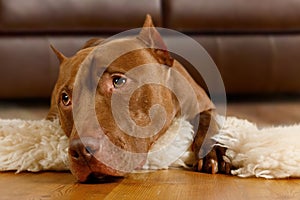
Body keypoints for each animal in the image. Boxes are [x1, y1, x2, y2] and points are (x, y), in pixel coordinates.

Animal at [47, 14, 230, 182]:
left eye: (118, 81)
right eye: (65, 98)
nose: (81, 149)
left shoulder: (204, 104)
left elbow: (208, 120)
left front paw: (213, 151)